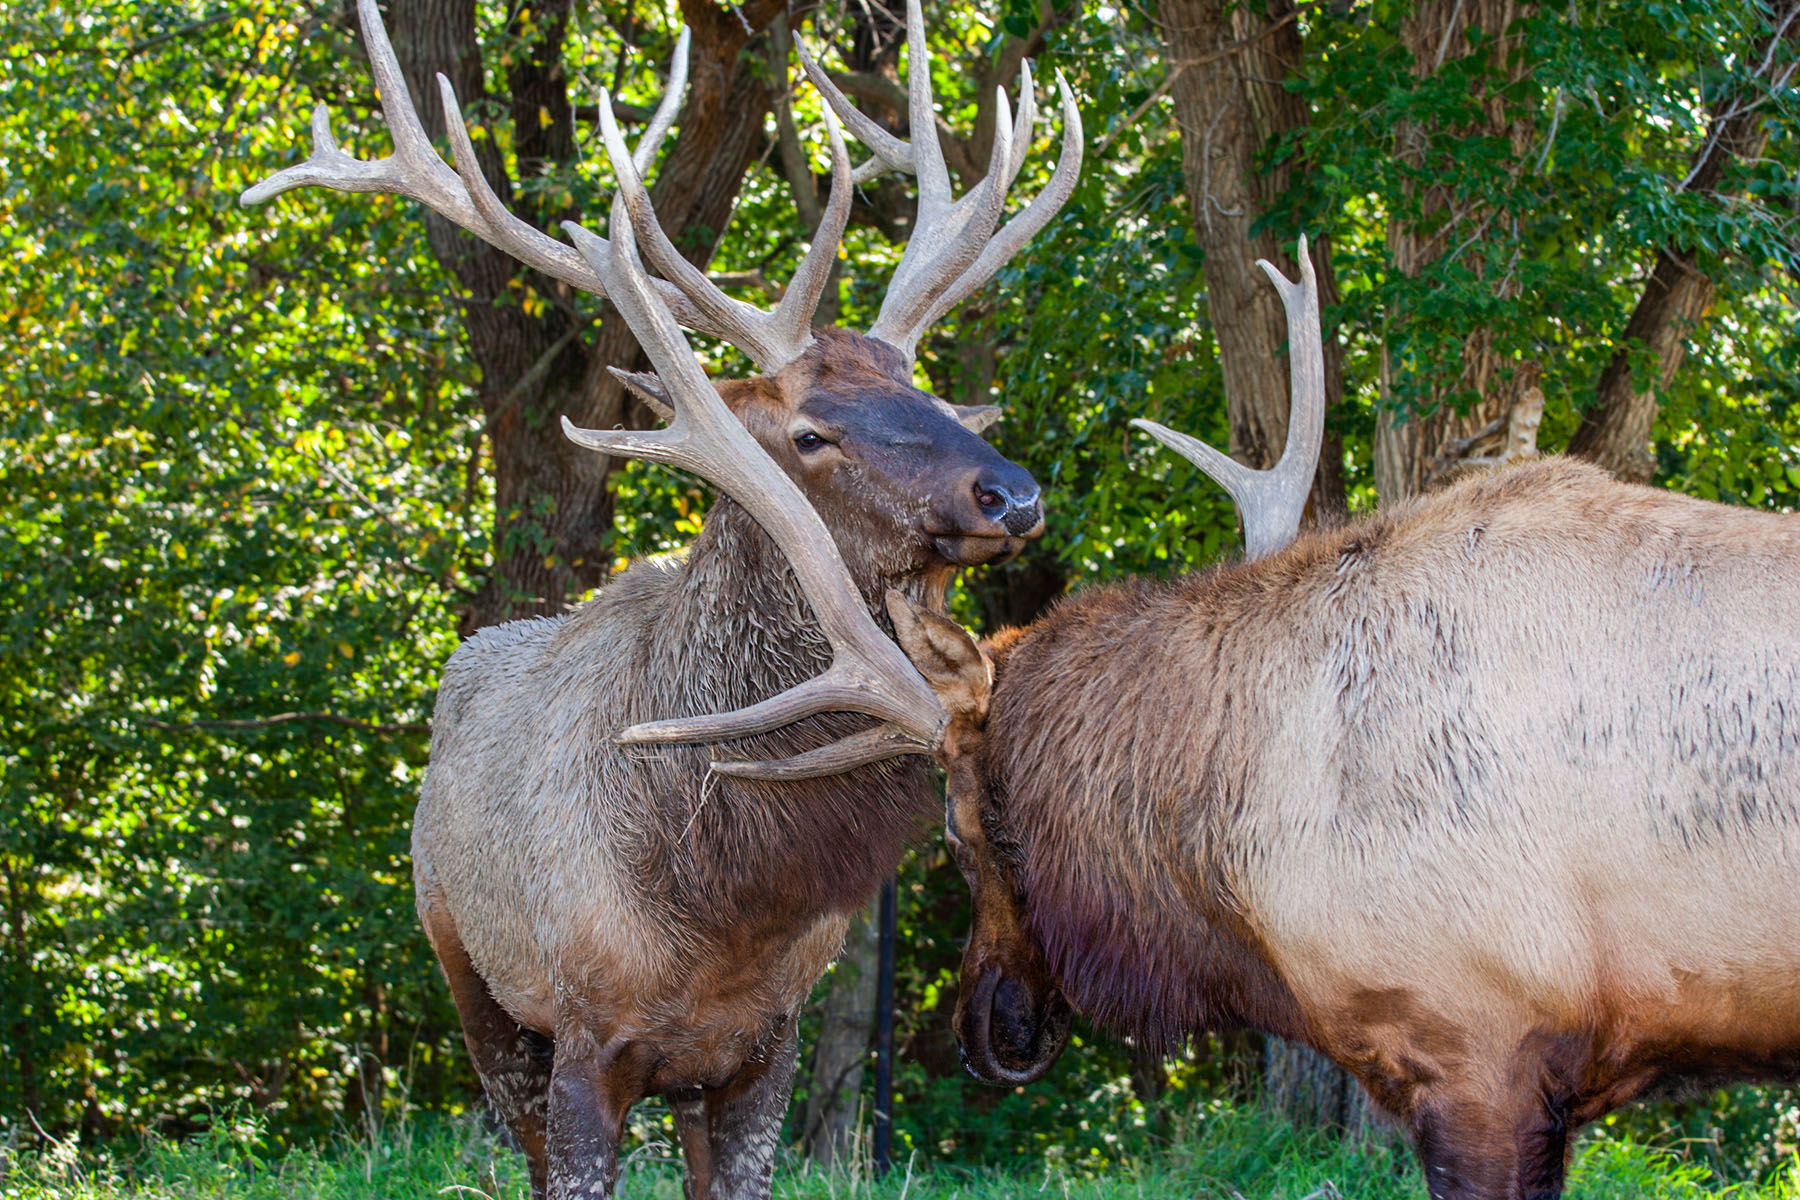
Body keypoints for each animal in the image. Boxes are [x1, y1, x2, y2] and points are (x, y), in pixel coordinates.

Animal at [243, 4, 1080, 1194]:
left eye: (918, 384)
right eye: (810, 432)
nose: (1013, 494)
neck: (723, 906)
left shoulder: (766, 1047)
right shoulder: (587, 1036)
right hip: (470, 981)